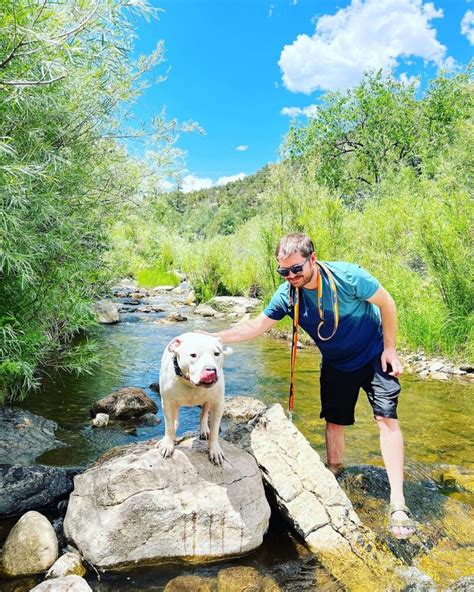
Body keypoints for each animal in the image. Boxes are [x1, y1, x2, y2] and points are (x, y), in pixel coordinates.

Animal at [156, 332, 232, 462]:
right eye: (193, 355)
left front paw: (215, 450)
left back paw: (204, 429)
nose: (210, 370)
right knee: (174, 421)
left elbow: (215, 430)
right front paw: (167, 444)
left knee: (204, 414)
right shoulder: (167, 402)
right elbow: (169, 426)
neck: (191, 383)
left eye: (217, 353)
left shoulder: (218, 404)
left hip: (208, 401)